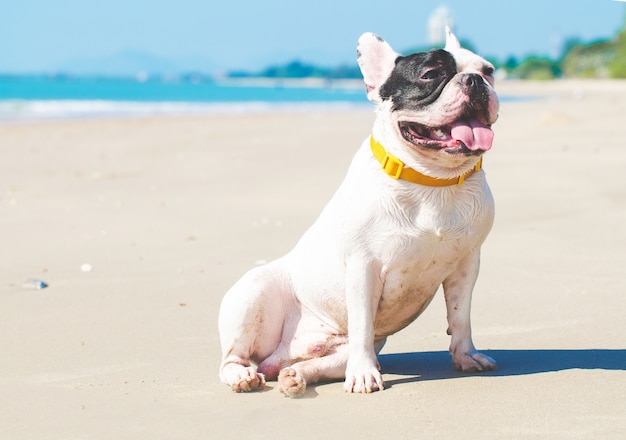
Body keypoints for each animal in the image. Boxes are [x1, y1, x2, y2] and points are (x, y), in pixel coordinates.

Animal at [218, 28, 498, 398]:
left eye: (489, 71)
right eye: (430, 74)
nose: (474, 80)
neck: (432, 181)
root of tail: (283, 353)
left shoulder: (466, 264)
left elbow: (460, 315)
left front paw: (466, 356)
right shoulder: (364, 267)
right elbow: (363, 321)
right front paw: (364, 376)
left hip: (345, 350)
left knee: (317, 363)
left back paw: (297, 376)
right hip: (253, 294)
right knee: (233, 358)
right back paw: (243, 376)